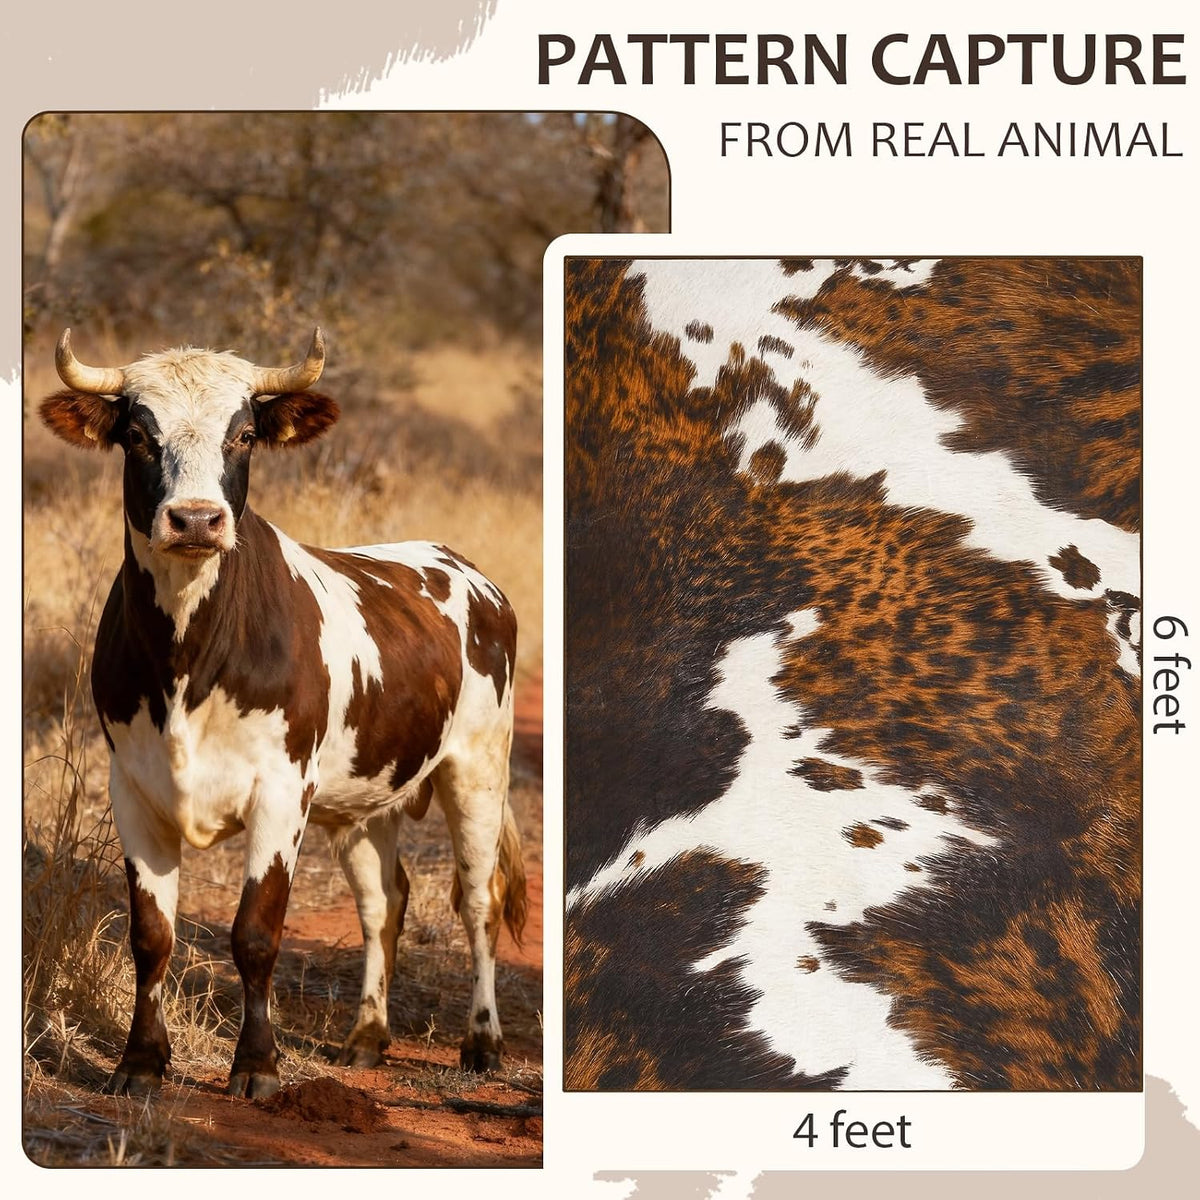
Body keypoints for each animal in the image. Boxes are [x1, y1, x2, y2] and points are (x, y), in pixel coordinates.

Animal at [39, 328, 526, 1099]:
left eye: (243, 435)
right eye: (138, 436)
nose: (197, 520)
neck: (189, 656)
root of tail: (461, 567)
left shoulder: (281, 791)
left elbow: (255, 933)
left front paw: (257, 1065)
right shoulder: (134, 789)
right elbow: (151, 935)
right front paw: (140, 1062)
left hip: (478, 768)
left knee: (478, 899)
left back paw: (482, 1043)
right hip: (364, 801)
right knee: (384, 902)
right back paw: (367, 1037)